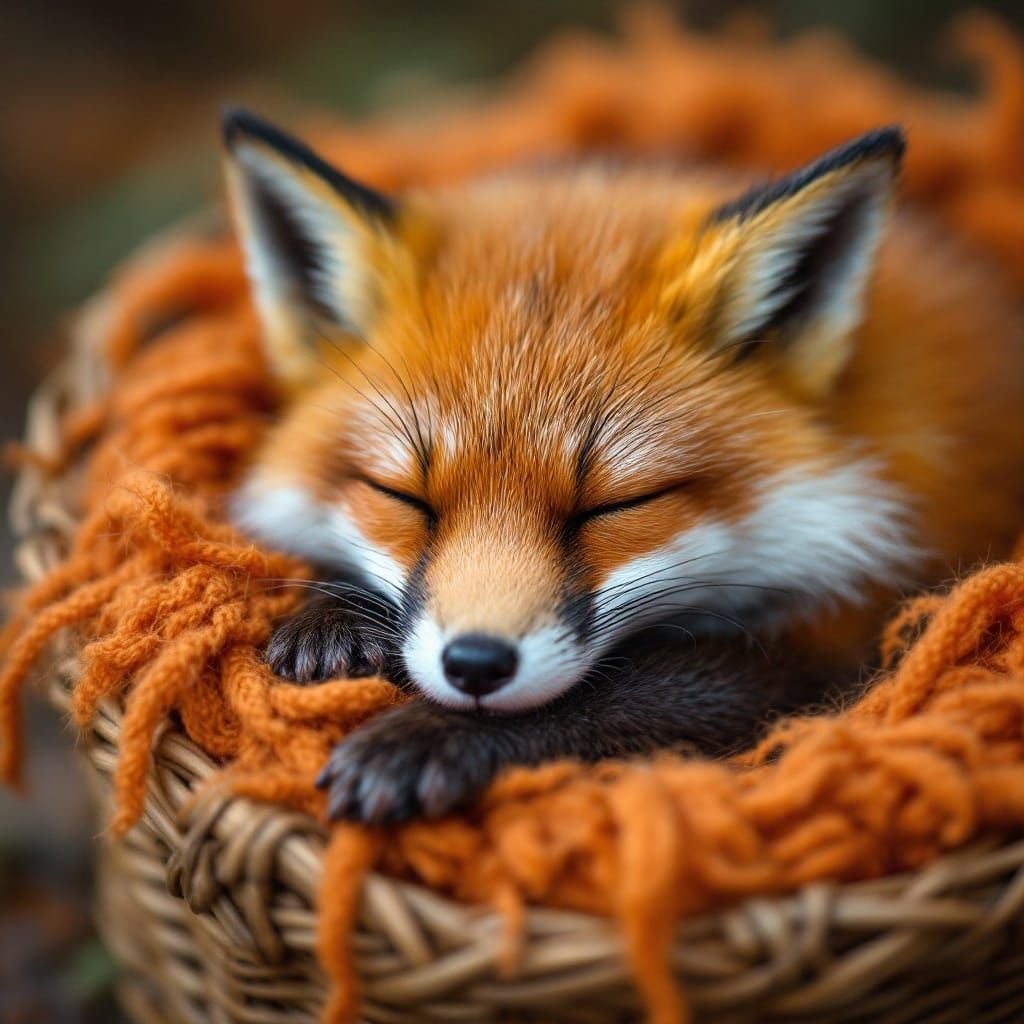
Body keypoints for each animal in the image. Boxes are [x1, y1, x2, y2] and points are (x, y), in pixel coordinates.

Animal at [222, 109, 1024, 825]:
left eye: (614, 506)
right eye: (404, 498)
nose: (475, 665)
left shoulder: (838, 646)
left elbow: (618, 693)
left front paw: (431, 736)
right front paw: (330, 617)